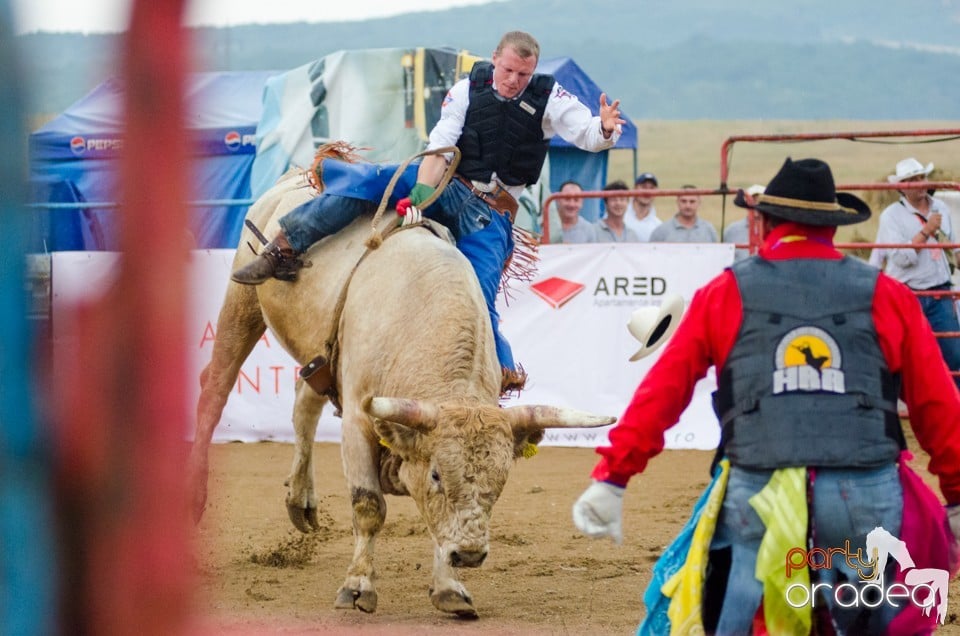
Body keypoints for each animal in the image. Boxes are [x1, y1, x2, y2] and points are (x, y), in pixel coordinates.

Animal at [188, 168, 616, 616]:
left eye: (501, 478)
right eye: (437, 474)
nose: (469, 554)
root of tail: (293, 178)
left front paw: (448, 586)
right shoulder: (359, 419)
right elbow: (368, 505)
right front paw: (358, 585)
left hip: (319, 355)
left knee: (304, 405)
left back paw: (301, 500)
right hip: (242, 304)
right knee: (214, 389)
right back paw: (195, 495)